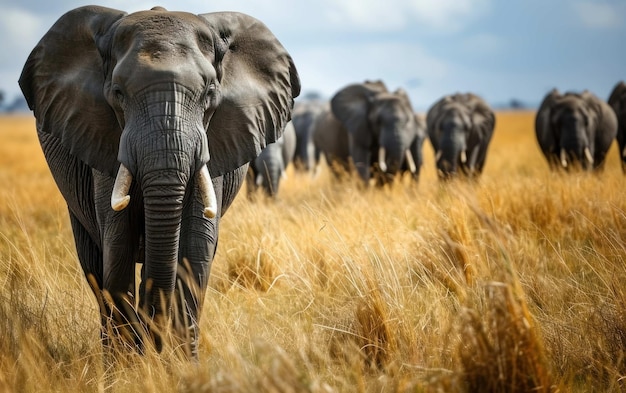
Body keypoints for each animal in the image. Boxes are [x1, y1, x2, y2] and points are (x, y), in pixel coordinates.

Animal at [17, 6, 300, 356]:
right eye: (118, 94)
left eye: (210, 94)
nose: (152, 327)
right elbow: (118, 244)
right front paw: (127, 363)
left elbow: (196, 247)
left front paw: (179, 362)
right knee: (94, 267)